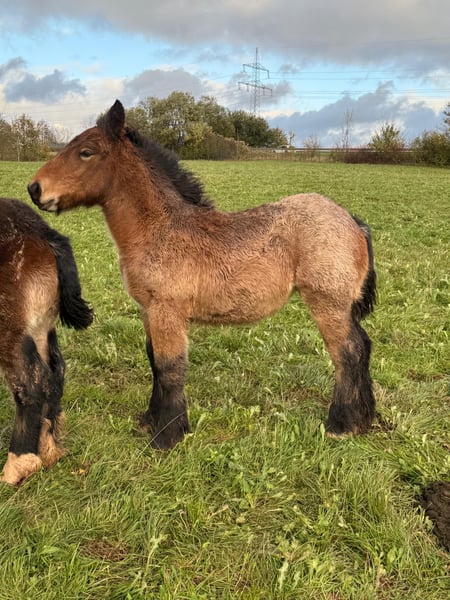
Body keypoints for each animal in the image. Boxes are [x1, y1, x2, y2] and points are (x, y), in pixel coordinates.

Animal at [0, 198, 93, 485]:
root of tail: (42, 231)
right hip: (41, 325)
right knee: (55, 373)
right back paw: (48, 449)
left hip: (10, 328)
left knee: (31, 385)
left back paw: (18, 465)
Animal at [28, 99, 377, 450]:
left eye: (86, 152)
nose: (34, 188)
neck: (160, 229)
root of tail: (352, 220)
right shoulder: (149, 311)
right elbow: (154, 362)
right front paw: (150, 421)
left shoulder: (167, 311)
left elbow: (170, 367)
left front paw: (167, 436)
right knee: (363, 345)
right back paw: (366, 419)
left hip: (327, 303)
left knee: (347, 352)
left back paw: (341, 424)